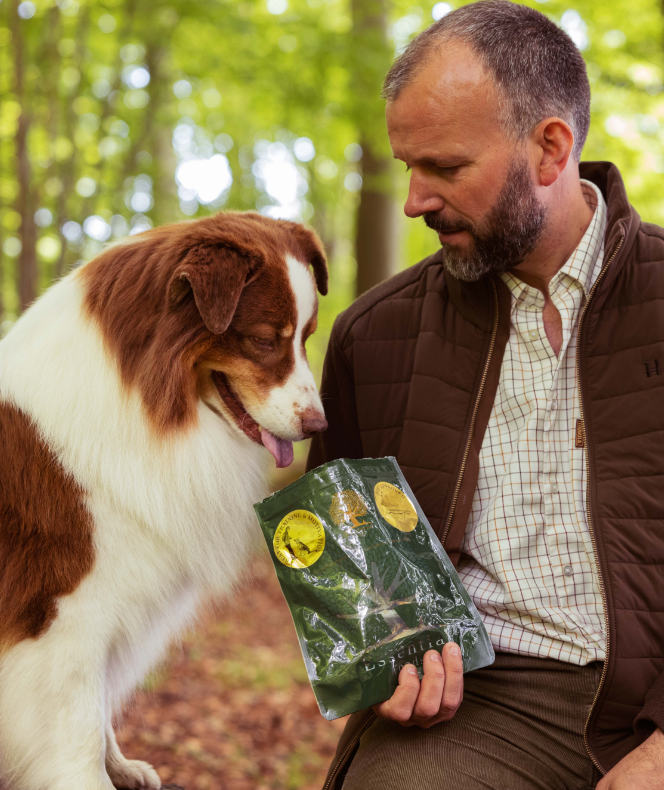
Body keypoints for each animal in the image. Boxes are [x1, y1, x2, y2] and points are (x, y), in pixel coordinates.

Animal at [0, 212, 330, 790]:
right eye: (264, 339)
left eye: (307, 337)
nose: (318, 426)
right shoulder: (60, 616)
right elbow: (76, 729)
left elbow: (97, 709)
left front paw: (121, 766)